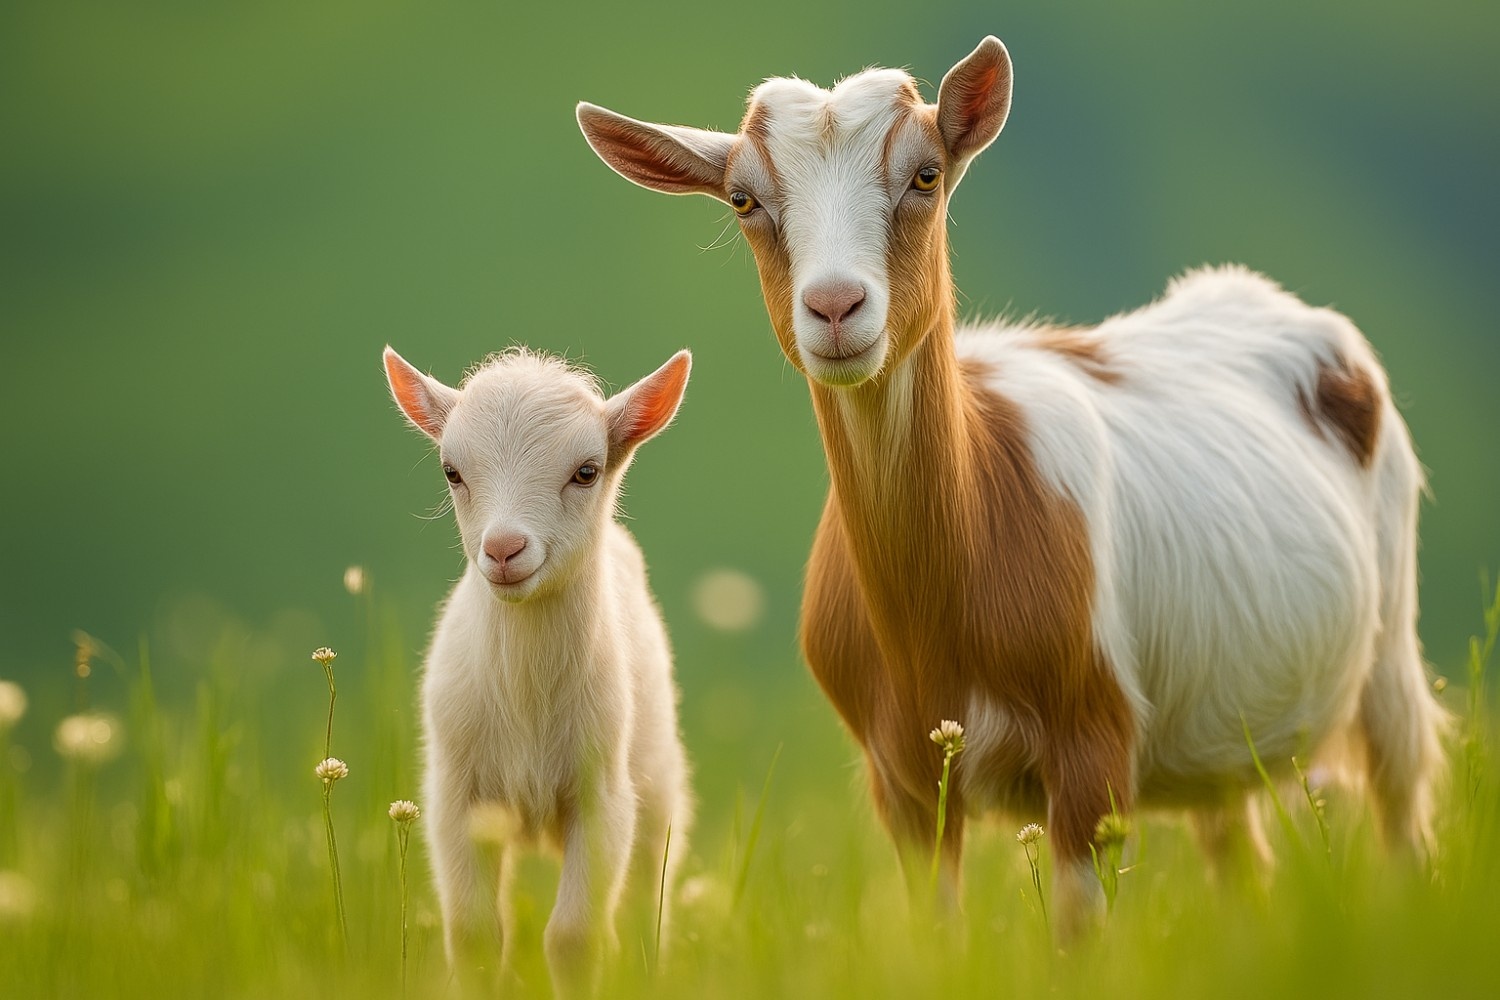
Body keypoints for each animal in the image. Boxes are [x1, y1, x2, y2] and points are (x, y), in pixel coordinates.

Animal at [382, 345, 693, 992]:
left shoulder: (602, 798)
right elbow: (475, 935)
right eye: (451, 472)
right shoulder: (457, 797)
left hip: (658, 789)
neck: (526, 699)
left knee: (645, 909)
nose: (504, 550)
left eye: (586, 471)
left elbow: (573, 938)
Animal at [575, 36, 1446, 937]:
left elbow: (1076, 934)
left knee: (1404, 805)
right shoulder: (904, 781)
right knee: (1241, 858)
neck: (939, 617)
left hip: (1389, 652)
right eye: (745, 198)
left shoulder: (1093, 744)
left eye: (926, 175)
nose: (836, 307)